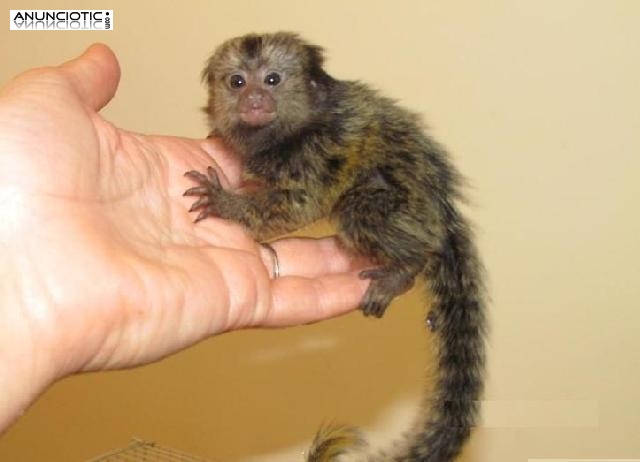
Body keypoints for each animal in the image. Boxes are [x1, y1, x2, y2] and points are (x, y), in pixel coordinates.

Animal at [184, 32, 486, 462]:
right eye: (237, 82)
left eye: (273, 80)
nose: (254, 100)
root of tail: (444, 210)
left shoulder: (316, 150)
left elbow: (298, 204)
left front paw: (226, 204)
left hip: (404, 211)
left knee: (360, 210)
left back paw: (403, 270)